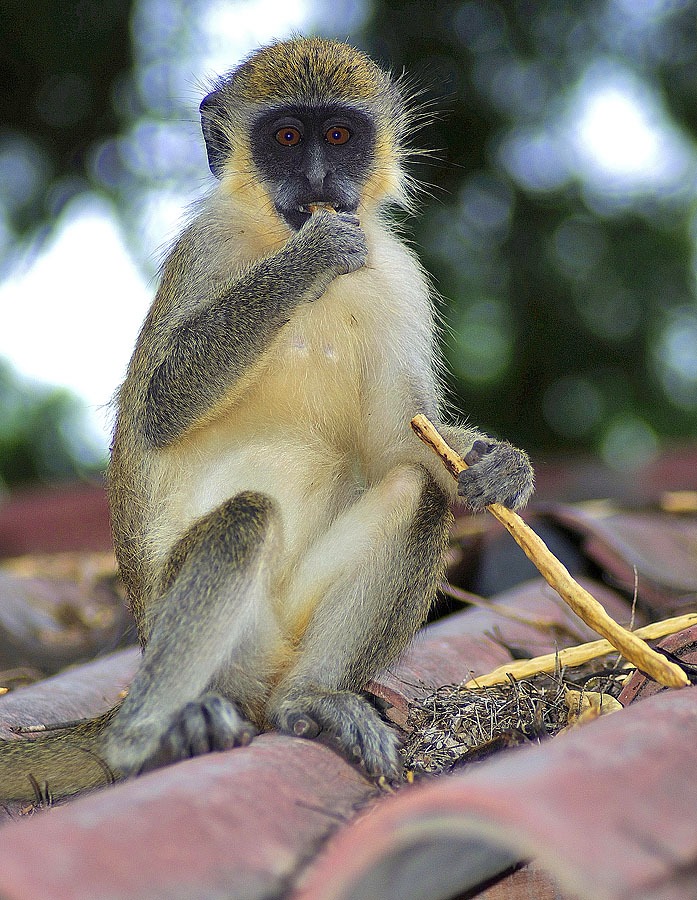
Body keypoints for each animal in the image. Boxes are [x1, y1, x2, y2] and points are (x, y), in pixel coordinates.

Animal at [1, 35, 532, 800]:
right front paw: (310, 257)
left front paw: (501, 464)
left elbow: (395, 444)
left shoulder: (397, 273)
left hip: (285, 632)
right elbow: (160, 404)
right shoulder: (206, 246)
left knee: (419, 493)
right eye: (284, 138)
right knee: (243, 519)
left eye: (338, 135)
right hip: (206, 635)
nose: (316, 181)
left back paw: (311, 698)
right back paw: (140, 741)